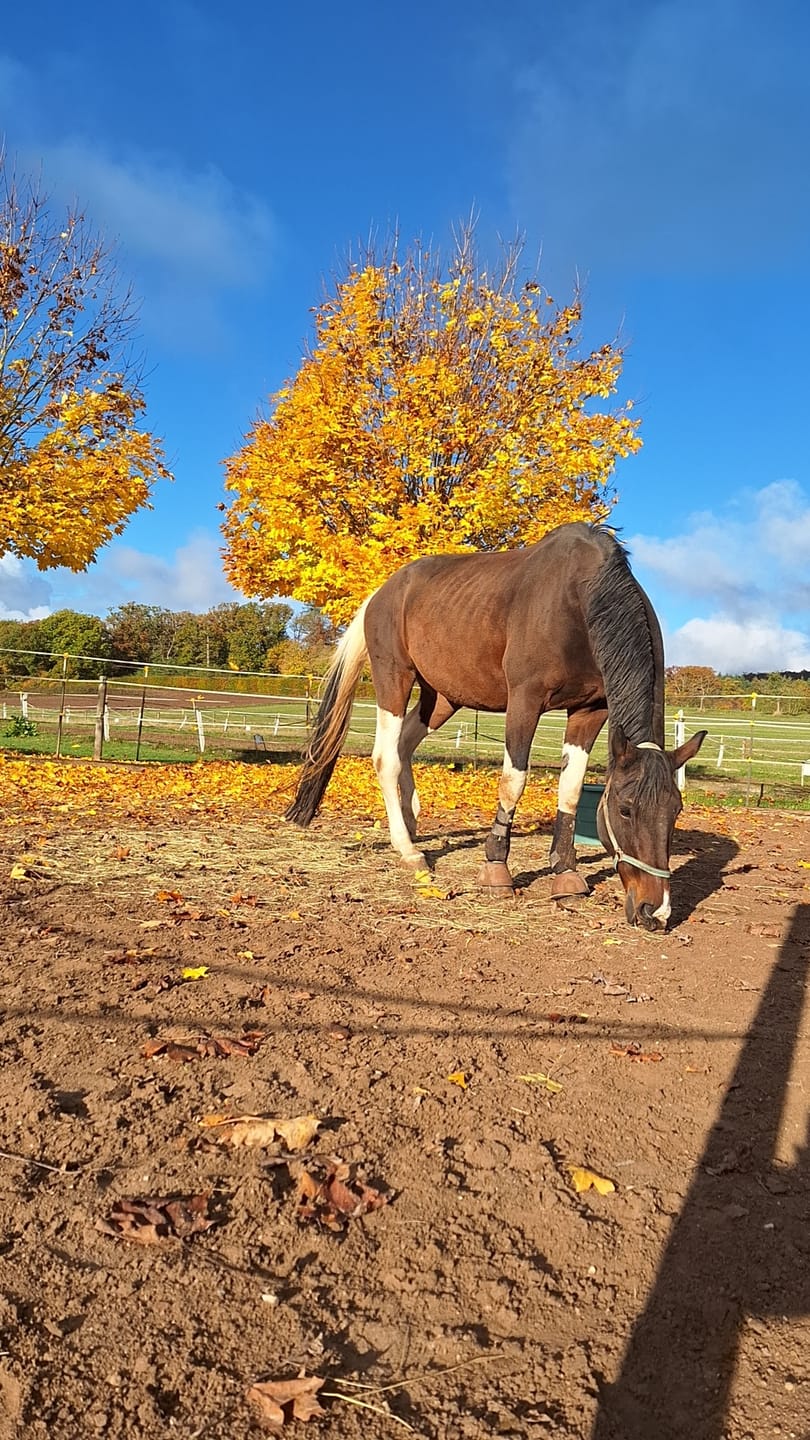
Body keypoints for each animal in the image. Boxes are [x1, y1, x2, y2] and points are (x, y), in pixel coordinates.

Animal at [286, 522, 706, 930]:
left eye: (676, 811)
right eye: (625, 810)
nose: (656, 913)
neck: (578, 602)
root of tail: (382, 592)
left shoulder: (590, 711)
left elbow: (570, 790)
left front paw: (566, 875)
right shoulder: (524, 701)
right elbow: (514, 780)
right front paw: (496, 869)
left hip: (441, 697)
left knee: (404, 746)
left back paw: (408, 823)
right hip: (394, 678)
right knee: (385, 757)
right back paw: (409, 850)